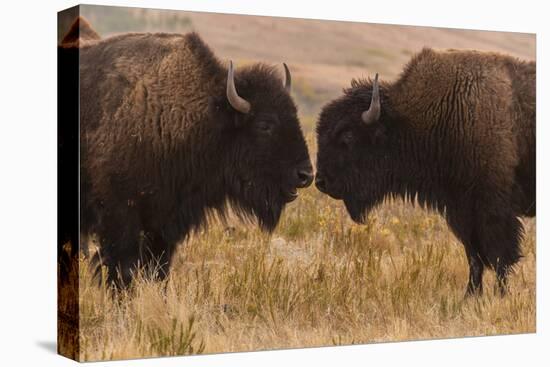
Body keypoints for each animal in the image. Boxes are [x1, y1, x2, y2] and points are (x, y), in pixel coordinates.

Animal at [60, 17, 314, 288]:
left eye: (294, 115)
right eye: (265, 125)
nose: (306, 174)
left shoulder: (165, 223)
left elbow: (158, 268)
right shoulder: (119, 215)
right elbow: (123, 267)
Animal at [316, 48, 536, 296]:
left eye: (347, 137)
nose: (321, 182)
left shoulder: (493, 210)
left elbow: (500, 257)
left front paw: (500, 295)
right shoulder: (462, 211)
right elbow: (474, 257)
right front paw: (470, 296)